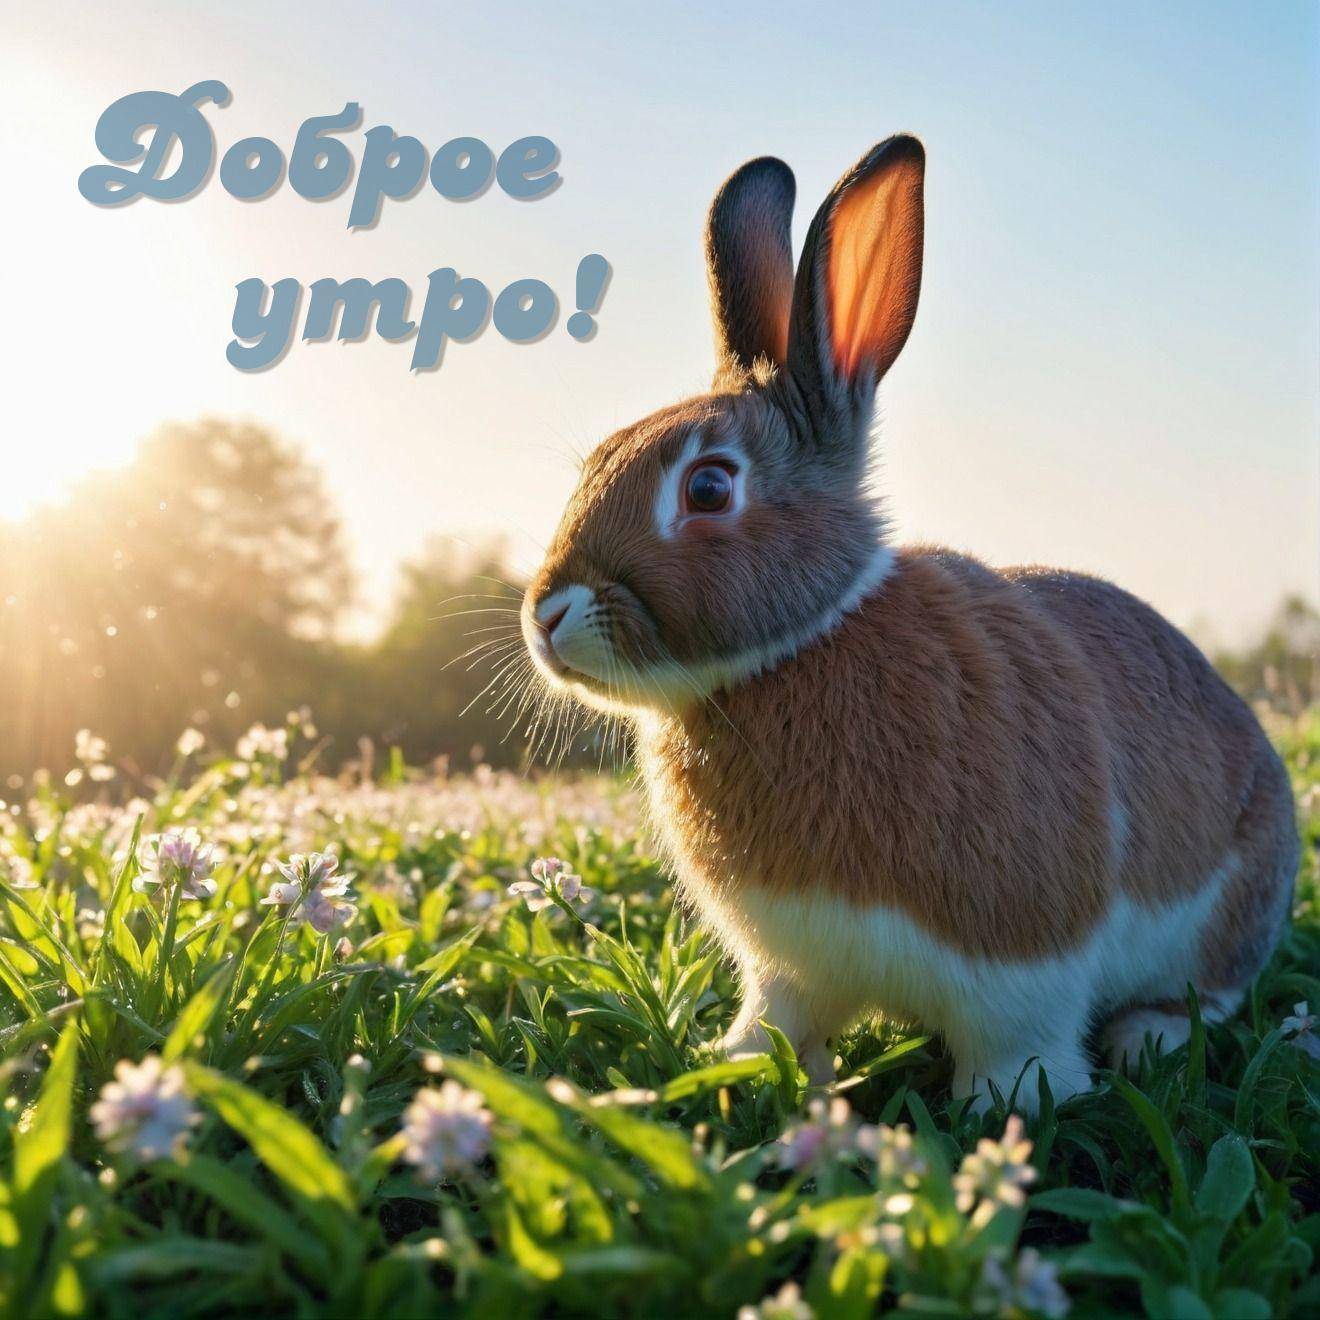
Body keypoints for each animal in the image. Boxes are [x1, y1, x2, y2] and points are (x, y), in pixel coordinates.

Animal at [519, 135, 1298, 1112]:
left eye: (709, 486)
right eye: (597, 458)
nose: (545, 616)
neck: (799, 648)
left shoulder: (1023, 953)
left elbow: (1021, 1040)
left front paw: (1007, 1106)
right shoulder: (791, 966)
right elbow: (778, 1017)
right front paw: (738, 1064)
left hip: (1228, 907)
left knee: (1215, 991)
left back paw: (1147, 1036)